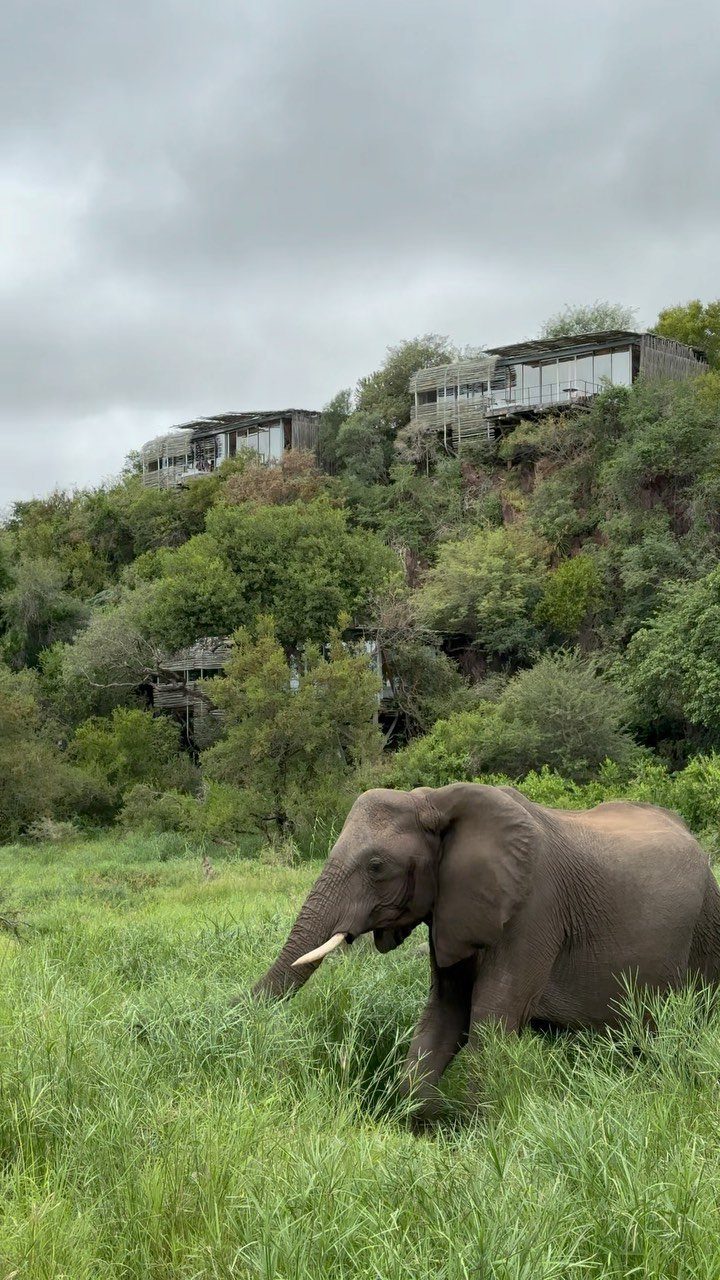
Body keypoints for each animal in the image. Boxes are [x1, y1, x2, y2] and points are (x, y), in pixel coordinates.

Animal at [251, 783, 720, 1114]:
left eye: (377, 866)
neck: (434, 800)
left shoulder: (534, 911)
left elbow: (491, 1021)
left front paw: (474, 1129)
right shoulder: (453, 911)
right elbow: (445, 1012)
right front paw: (425, 1118)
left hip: (707, 924)